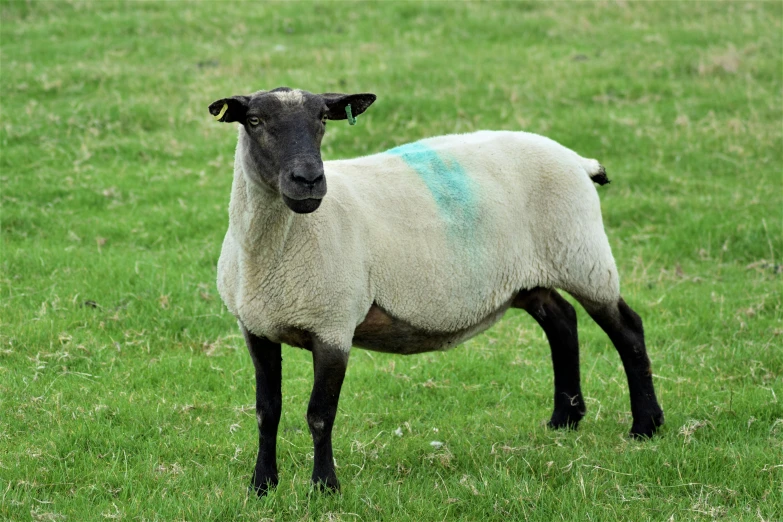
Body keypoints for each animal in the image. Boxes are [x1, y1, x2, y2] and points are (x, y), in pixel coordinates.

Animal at [207, 87, 660, 494]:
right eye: (254, 121)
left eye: (322, 119)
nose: (309, 180)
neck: (275, 250)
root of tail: (577, 160)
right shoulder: (258, 326)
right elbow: (267, 411)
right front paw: (262, 485)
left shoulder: (333, 326)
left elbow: (320, 414)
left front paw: (324, 487)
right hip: (530, 274)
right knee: (562, 322)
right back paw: (564, 420)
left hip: (583, 256)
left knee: (627, 328)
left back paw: (646, 425)